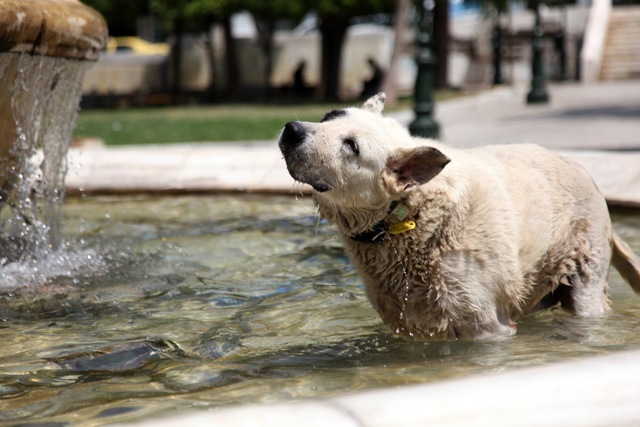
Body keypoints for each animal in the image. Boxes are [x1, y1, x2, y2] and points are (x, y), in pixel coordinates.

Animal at [278, 93, 640, 342]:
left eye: (351, 146)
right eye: (329, 115)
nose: (292, 130)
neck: (405, 214)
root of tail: (589, 176)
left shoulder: (485, 325)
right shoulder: (406, 321)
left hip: (585, 270)